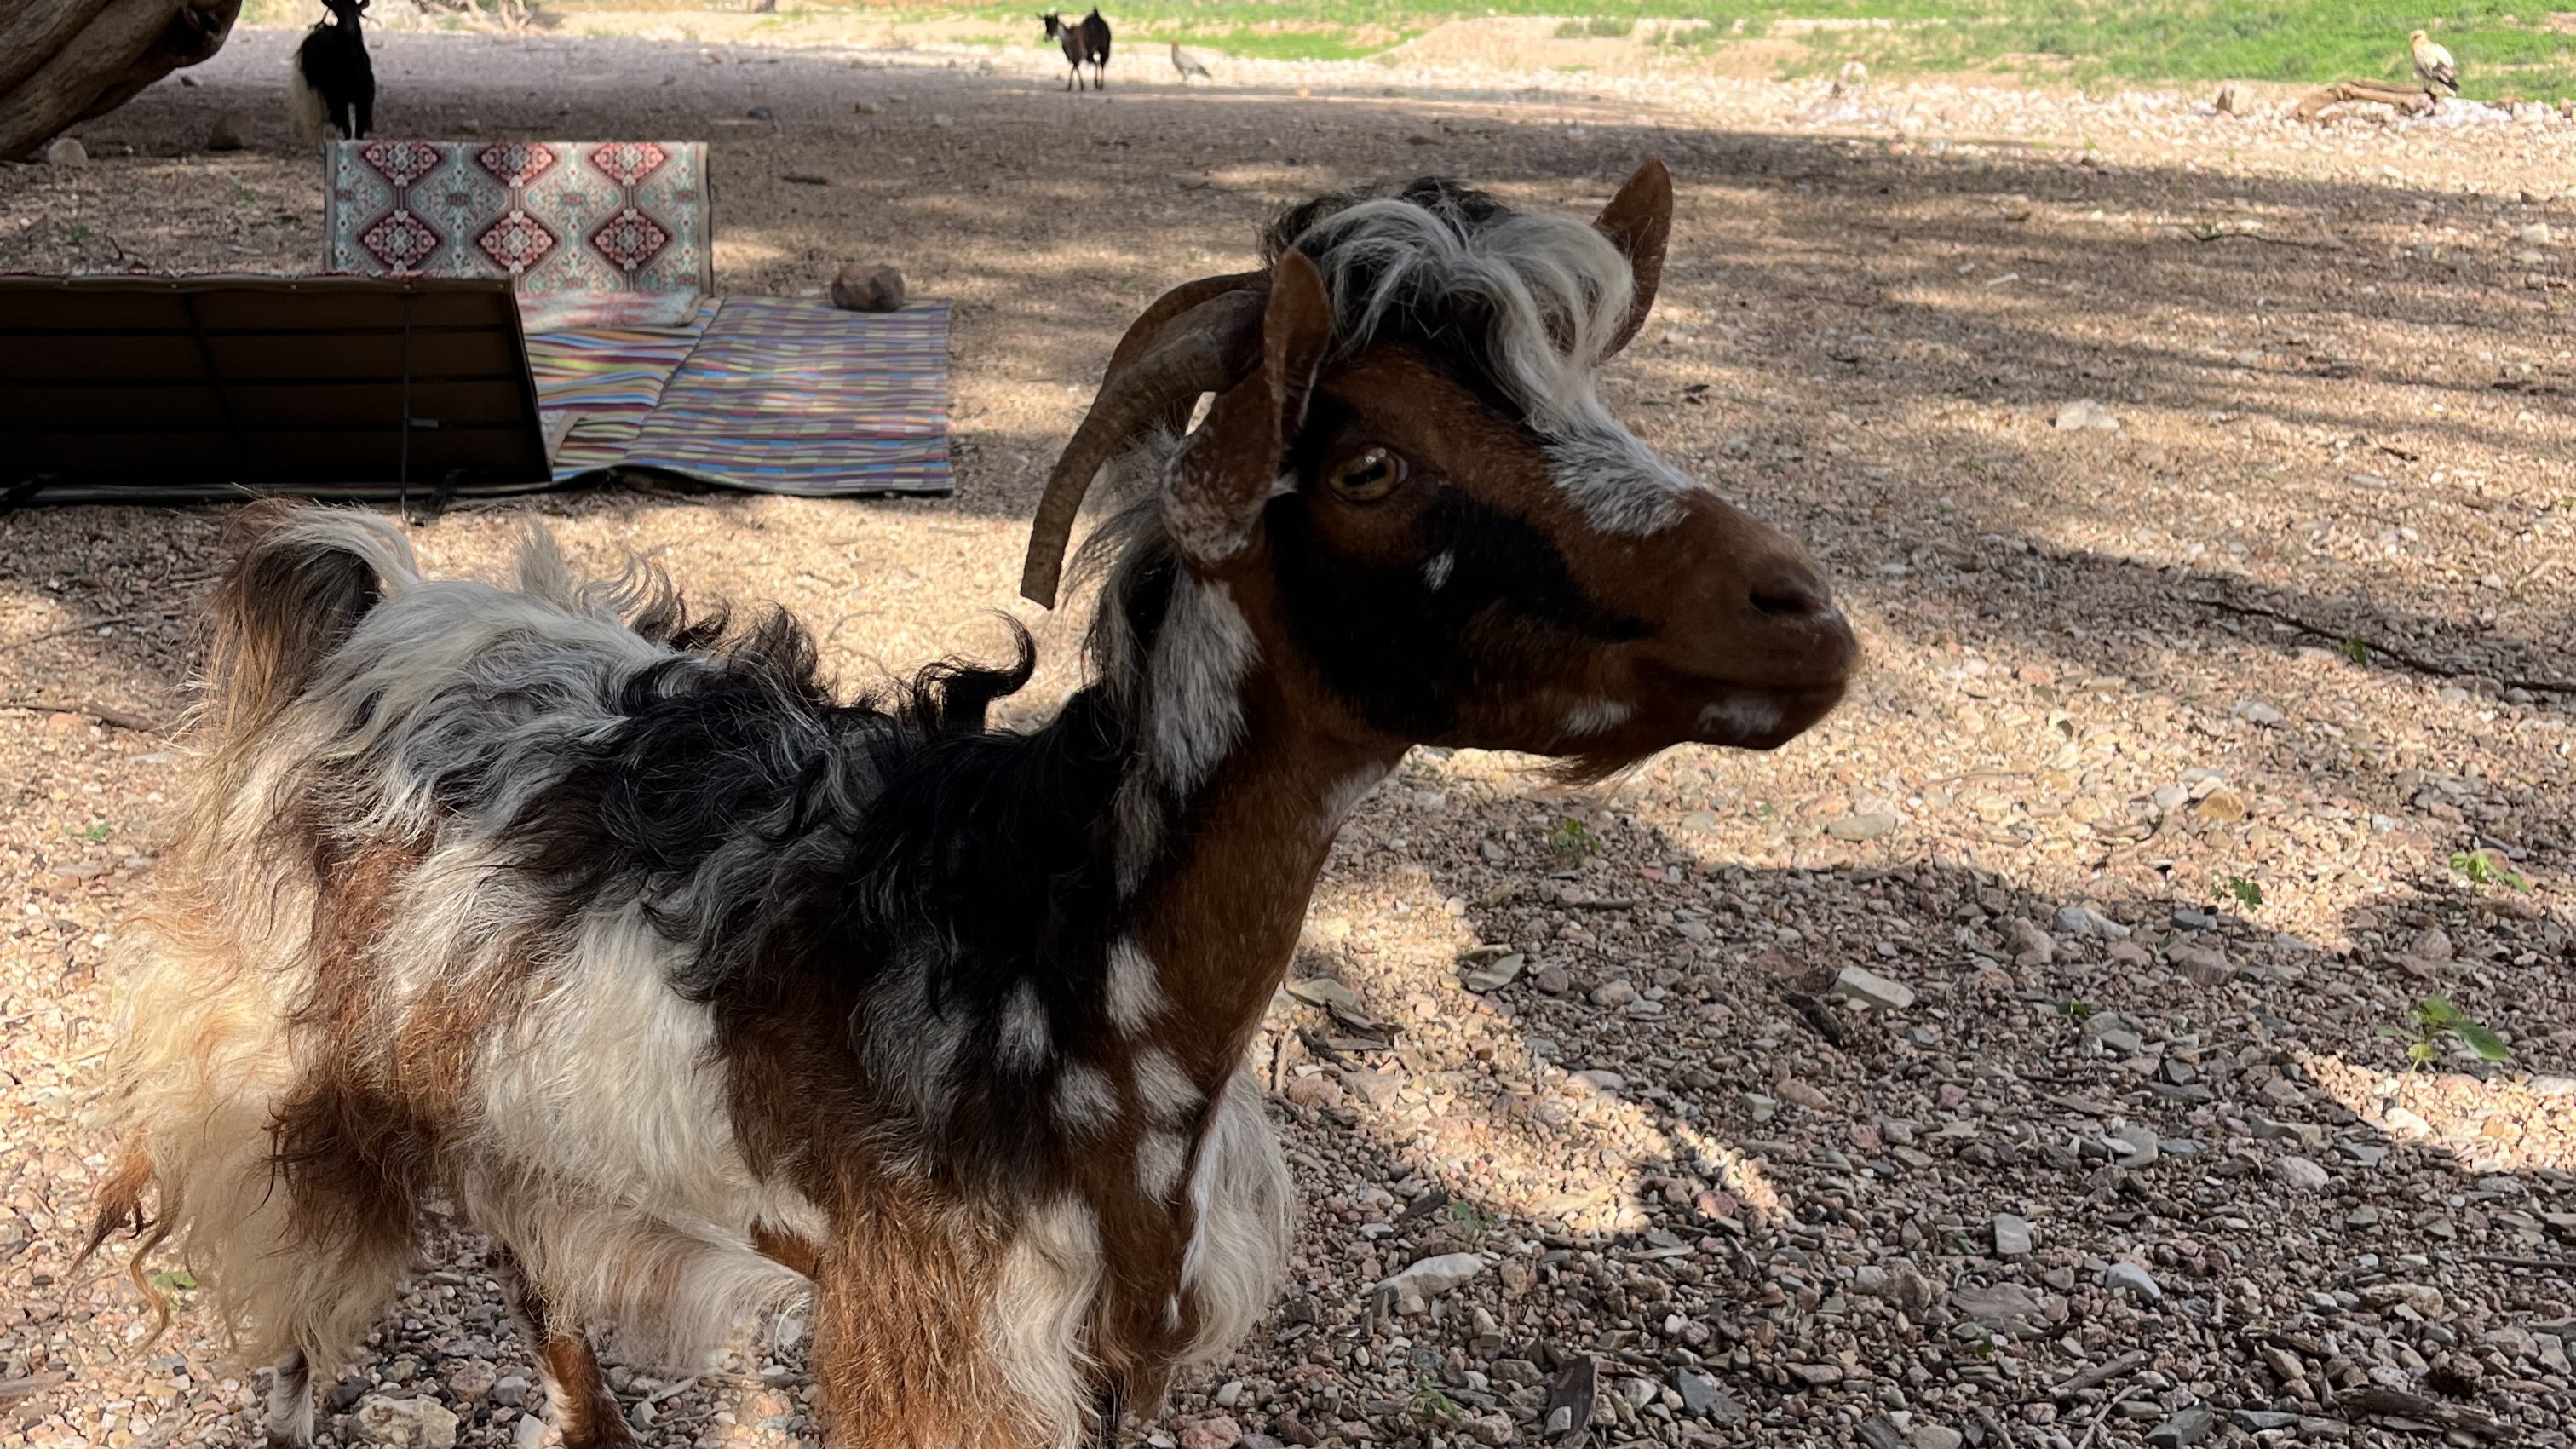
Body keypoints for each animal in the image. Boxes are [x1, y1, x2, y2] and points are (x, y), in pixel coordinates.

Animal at [84, 160, 1856, 1449]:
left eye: (1598, 399)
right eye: (1369, 466)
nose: (1807, 619)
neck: (1062, 949)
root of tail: (375, 597)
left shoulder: (1115, 1339)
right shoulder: (940, 1338)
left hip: (514, 1112)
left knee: (541, 1297)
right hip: (294, 1089)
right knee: (300, 1345)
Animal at [288, 0, 374, 142]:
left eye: (358, 12)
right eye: (336, 11)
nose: (349, 29)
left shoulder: (364, 101)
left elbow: (359, 133)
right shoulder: (339, 99)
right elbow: (347, 130)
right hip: (315, 93)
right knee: (319, 123)